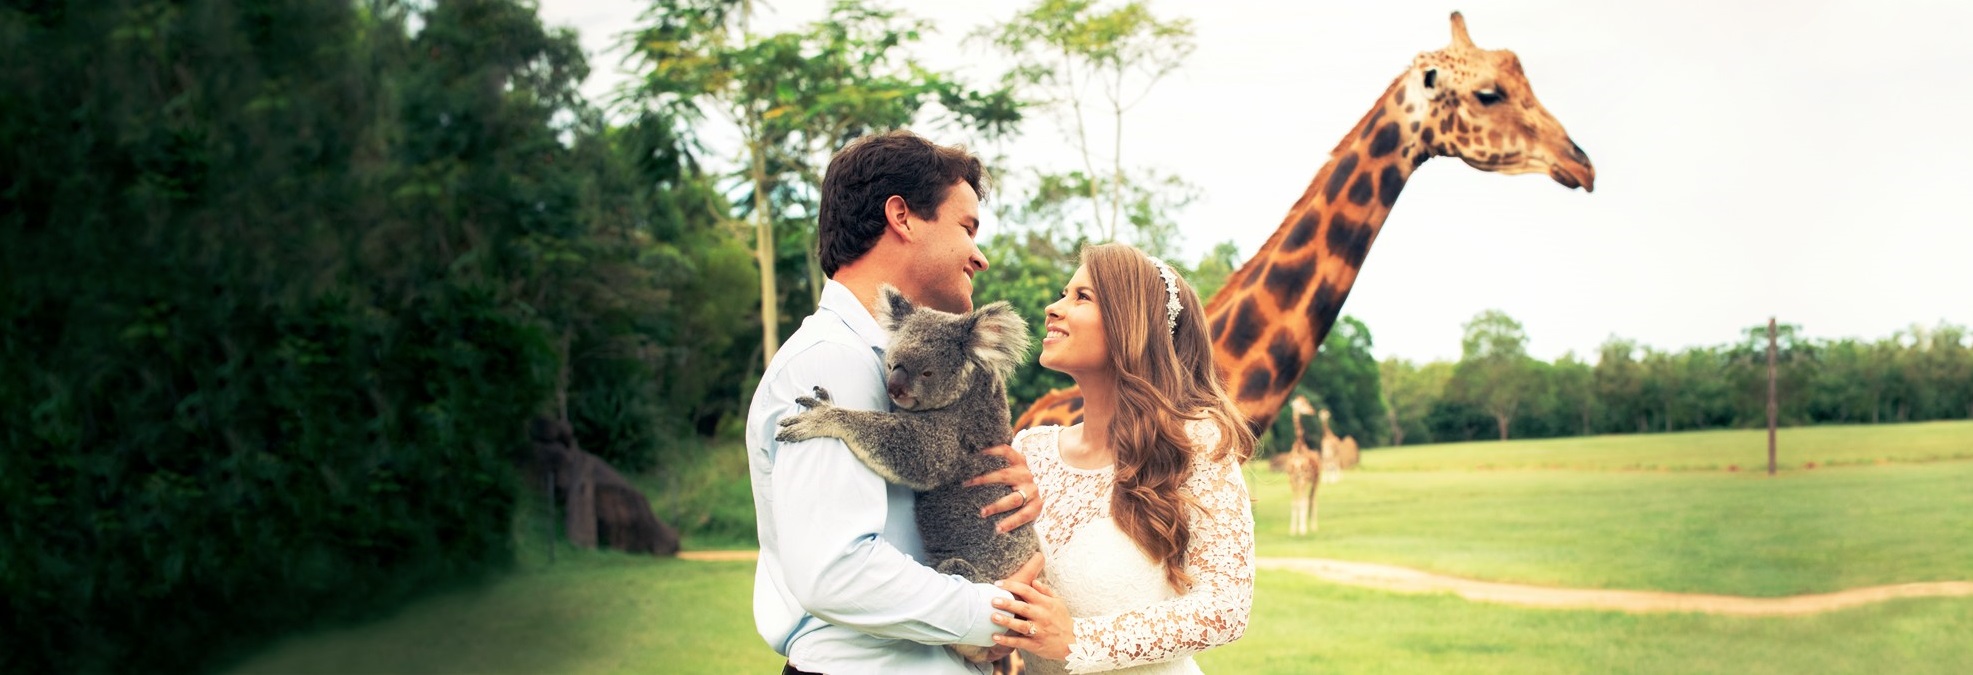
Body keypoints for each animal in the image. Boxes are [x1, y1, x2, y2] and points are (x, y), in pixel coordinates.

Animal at [1270, 398, 1317, 536]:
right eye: (1301, 404)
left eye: (1306, 402)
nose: (1312, 411)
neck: (1299, 449)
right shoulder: (1292, 479)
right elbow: (1294, 503)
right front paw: (1293, 530)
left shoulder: (1303, 478)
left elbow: (1302, 502)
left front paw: (1302, 530)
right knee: (1308, 499)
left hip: (1315, 480)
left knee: (1312, 499)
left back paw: (1313, 527)